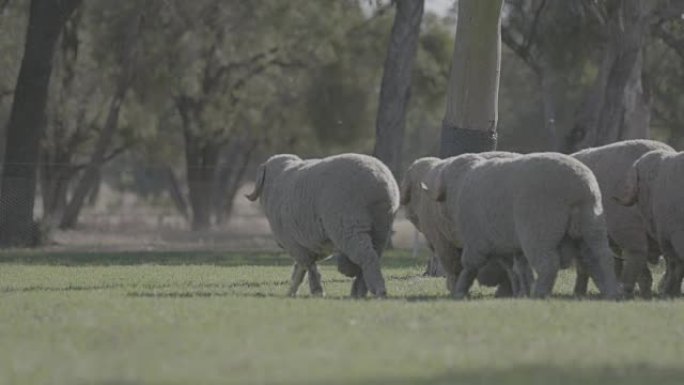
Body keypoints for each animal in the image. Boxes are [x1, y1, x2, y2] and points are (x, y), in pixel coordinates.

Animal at [244, 153, 398, 296]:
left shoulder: (294, 244)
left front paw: (316, 290)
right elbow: (300, 270)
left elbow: (308, 266)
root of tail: (380, 182)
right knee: (373, 255)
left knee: (367, 256)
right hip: (381, 228)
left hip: (349, 226)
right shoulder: (308, 245)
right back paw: (358, 291)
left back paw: (377, 289)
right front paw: (293, 291)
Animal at [428, 152, 624, 298]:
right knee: (601, 257)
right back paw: (611, 291)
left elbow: (470, 266)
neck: (461, 185)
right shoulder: (509, 245)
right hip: (592, 224)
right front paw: (520, 292)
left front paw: (460, 291)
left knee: (548, 263)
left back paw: (540, 293)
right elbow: (518, 270)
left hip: (539, 230)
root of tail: (579, 187)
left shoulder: (477, 242)